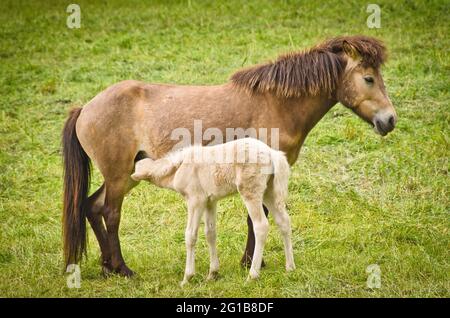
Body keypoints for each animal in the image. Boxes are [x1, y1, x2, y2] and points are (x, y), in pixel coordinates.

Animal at [132, 139, 296, 286]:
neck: (179, 168)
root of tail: (272, 154)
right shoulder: (210, 201)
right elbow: (210, 233)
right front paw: (212, 274)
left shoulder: (196, 200)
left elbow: (190, 235)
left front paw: (187, 278)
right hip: (270, 192)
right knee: (284, 222)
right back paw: (290, 268)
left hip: (250, 191)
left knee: (261, 226)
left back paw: (252, 275)